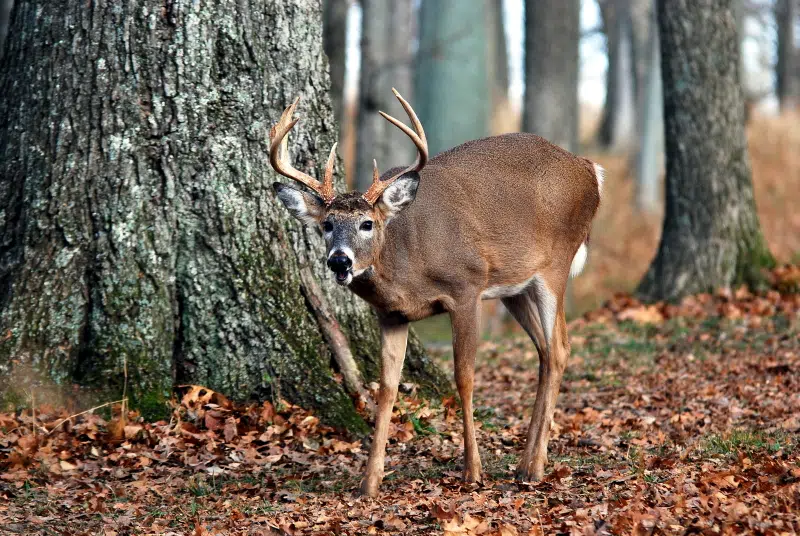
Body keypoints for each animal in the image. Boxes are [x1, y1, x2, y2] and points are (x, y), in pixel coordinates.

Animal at [268, 90, 600, 496]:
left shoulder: (467, 288)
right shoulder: (392, 315)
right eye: (327, 224)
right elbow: (387, 388)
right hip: (516, 288)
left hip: (555, 266)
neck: (408, 266)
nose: (339, 261)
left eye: (367, 223)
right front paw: (370, 481)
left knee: (559, 349)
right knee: (546, 352)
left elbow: (464, 376)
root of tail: (589, 169)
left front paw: (473, 471)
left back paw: (535, 466)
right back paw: (526, 465)